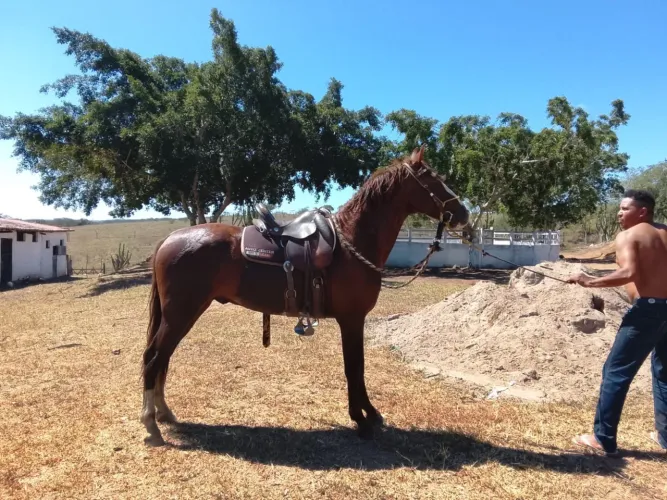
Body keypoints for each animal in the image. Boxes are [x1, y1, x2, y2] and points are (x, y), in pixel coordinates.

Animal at [140, 145, 470, 446]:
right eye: (433, 179)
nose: (463, 213)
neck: (351, 242)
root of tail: (169, 239)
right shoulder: (351, 320)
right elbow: (354, 368)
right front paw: (361, 420)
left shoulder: (355, 321)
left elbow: (359, 369)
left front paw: (371, 414)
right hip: (181, 314)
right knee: (154, 358)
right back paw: (151, 426)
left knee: (161, 358)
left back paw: (165, 414)